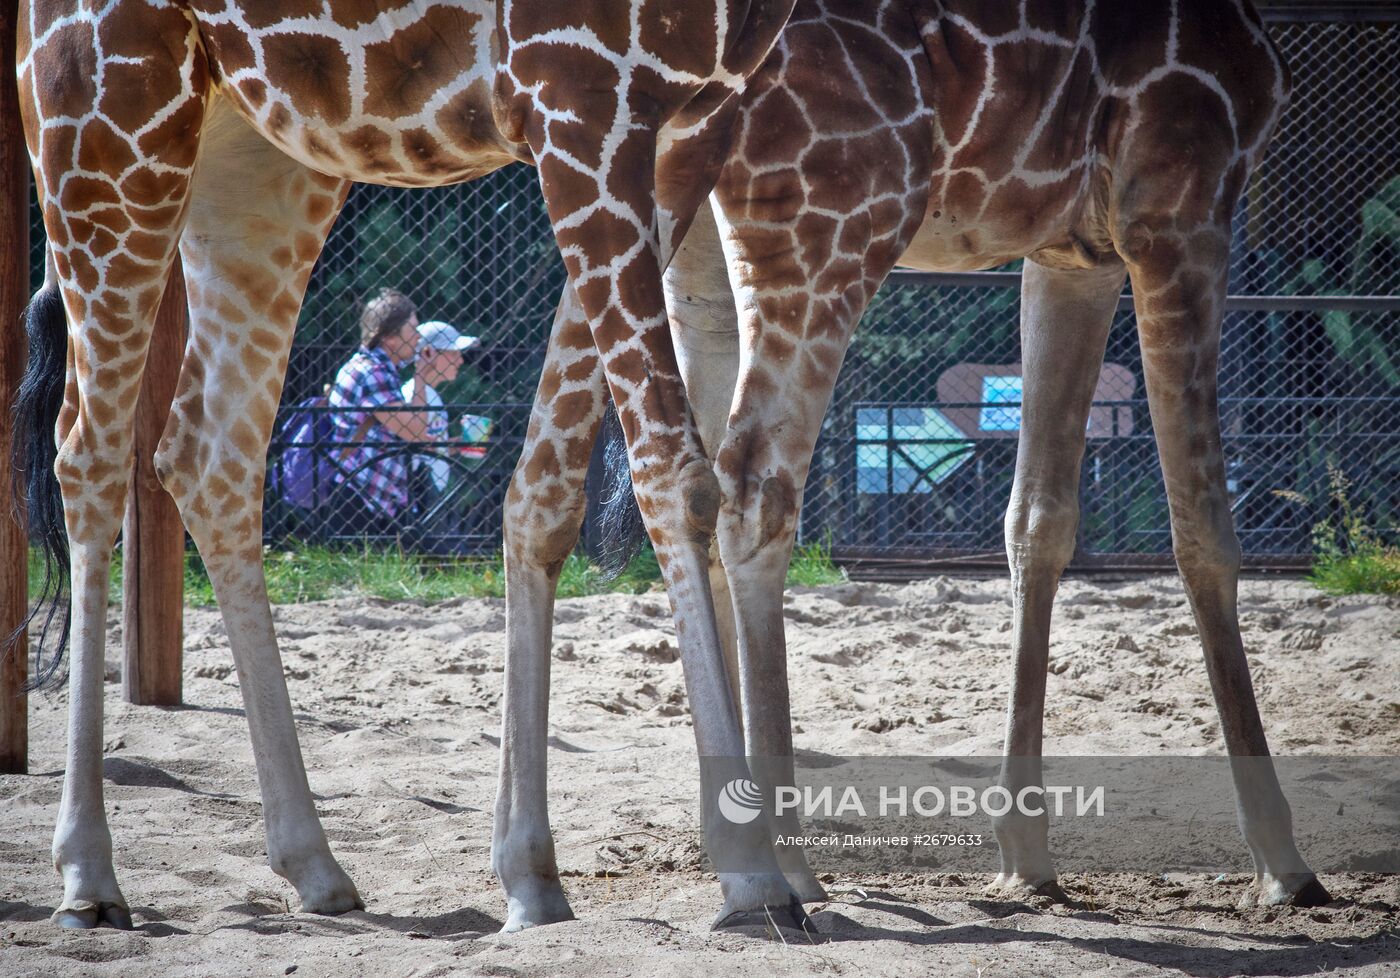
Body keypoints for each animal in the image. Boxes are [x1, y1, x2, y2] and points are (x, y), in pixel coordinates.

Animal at [10, 0, 800, 934]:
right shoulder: (581, 97)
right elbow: (674, 471)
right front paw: (753, 876)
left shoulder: (688, 125)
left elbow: (560, 486)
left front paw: (533, 875)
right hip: (107, 107)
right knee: (89, 453)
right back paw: (88, 876)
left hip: (258, 148)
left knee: (208, 451)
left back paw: (316, 868)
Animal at [495, 0, 1332, 934]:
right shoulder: (1181, 204)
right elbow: (1204, 531)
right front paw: (1283, 863)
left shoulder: (1073, 251)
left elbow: (1038, 519)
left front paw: (1027, 854)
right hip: (818, 227)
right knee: (747, 482)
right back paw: (778, 871)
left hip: (678, 228)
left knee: (595, 482)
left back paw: (558, 880)